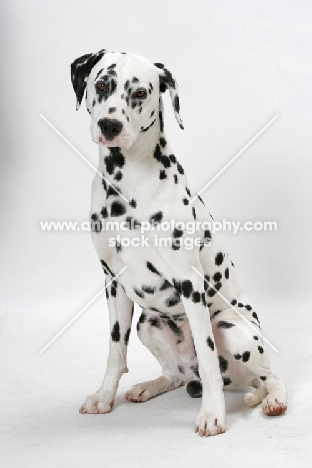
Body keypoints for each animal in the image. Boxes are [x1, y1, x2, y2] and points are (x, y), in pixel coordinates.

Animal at [70, 49, 288, 436]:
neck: (129, 183)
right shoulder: (113, 282)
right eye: (102, 84)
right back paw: (150, 385)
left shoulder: (190, 282)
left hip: (233, 330)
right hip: (148, 324)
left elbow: (207, 354)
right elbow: (115, 351)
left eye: (140, 93)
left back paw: (274, 400)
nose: (110, 126)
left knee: (269, 377)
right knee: (174, 374)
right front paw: (104, 397)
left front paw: (213, 414)